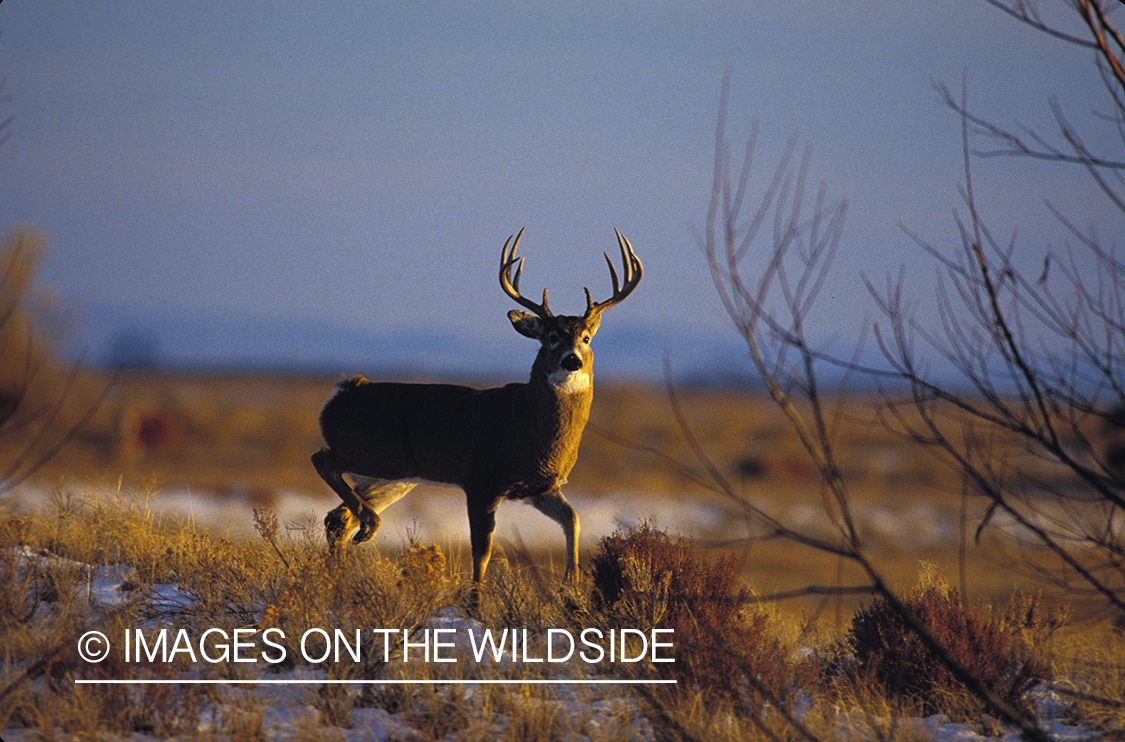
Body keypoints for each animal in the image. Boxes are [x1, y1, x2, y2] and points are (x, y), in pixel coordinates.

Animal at [310, 229, 643, 593]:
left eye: (586, 338)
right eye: (552, 337)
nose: (572, 360)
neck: (527, 423)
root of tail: (342, 392)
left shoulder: (540, 487)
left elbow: (574, 519)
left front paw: (571, 586)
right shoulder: (482, 479)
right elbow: (482, 551)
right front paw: (475, 601)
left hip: (393, 477)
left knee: (337, 518)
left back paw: (341, 574)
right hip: (373, 453)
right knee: (322, 460)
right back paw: (370, 525)